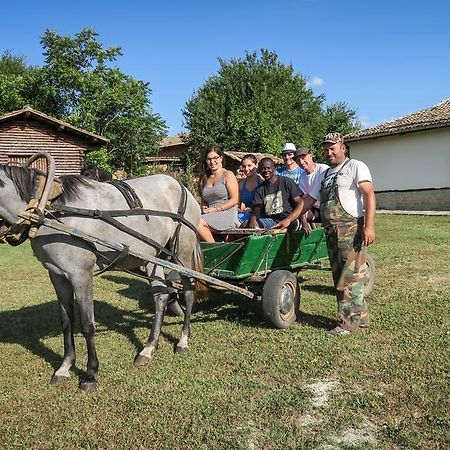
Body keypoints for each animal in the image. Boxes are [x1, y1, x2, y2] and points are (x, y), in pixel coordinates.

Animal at [0, 164, 202, 390]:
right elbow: (67, 322)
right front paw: (64, 367)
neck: (49, 210)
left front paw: (90, 374)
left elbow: (88, 324)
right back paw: (148, 349)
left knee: (189, 293)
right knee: (161, 298)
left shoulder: (81, 275)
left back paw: (183, 341)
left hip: (182, 254)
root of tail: (182, 186)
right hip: (154, 258)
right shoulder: (57, 276)